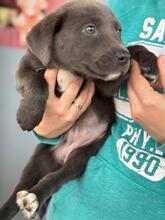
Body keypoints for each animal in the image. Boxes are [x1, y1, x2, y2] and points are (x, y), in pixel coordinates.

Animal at [0, 0, 159, 219]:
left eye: (118, 31)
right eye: (90, 29)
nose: (123, 57)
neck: (72, 70)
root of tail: (64, 154)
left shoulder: (107, 85)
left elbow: (132, 49)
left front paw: (147, 60)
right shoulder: (26, 65)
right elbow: (36, 83)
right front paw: (28, 115)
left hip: (80, 158)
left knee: (56, 178)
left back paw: (34, 198)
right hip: (38, 160)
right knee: (19, 189)